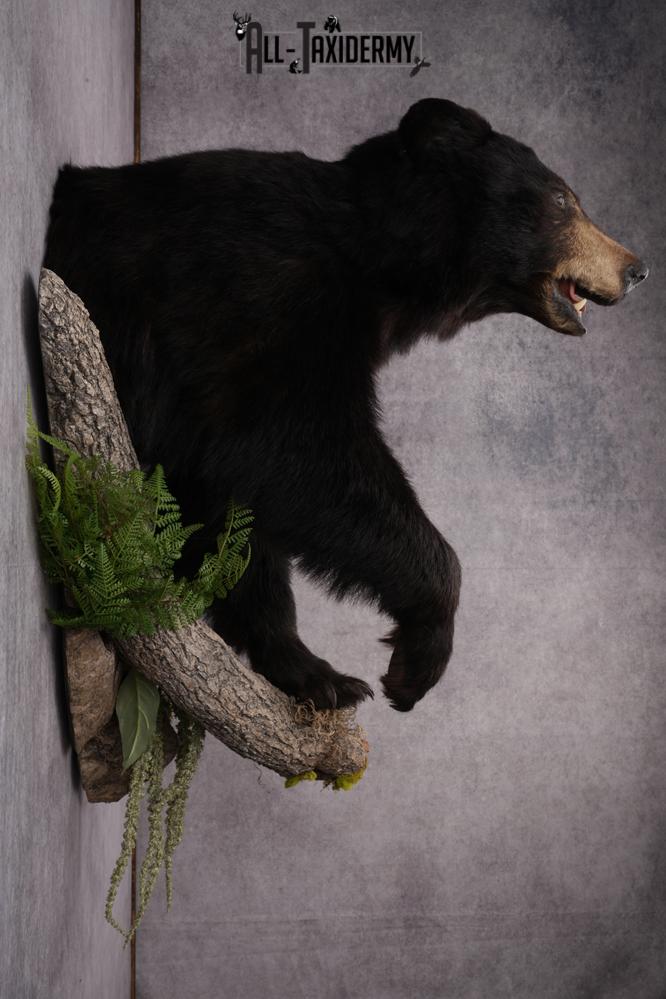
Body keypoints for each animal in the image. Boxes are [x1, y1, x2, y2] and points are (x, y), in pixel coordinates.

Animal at [43, 98, 648, 712]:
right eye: (563, 200)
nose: (636, 268)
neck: (376, 261)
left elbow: (222, 504)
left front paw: (316, 673)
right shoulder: (258, 300)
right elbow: (290, 452)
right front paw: (415, 657)